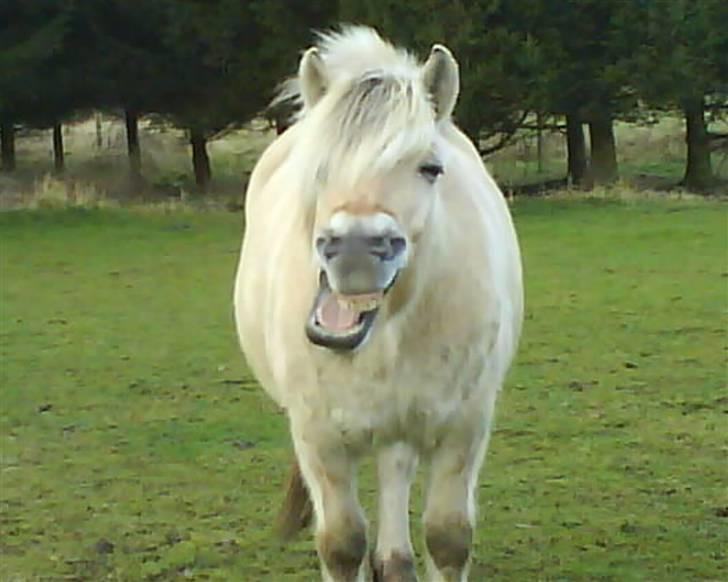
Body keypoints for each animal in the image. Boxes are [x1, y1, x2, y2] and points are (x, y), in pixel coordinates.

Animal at [233, 25, 524, 580]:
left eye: (430, 168)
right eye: (317, 168)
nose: (355, 248)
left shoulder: (464, 426)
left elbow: (449, 538)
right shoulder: (318, 436)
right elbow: (342, 544)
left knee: (395, 466)